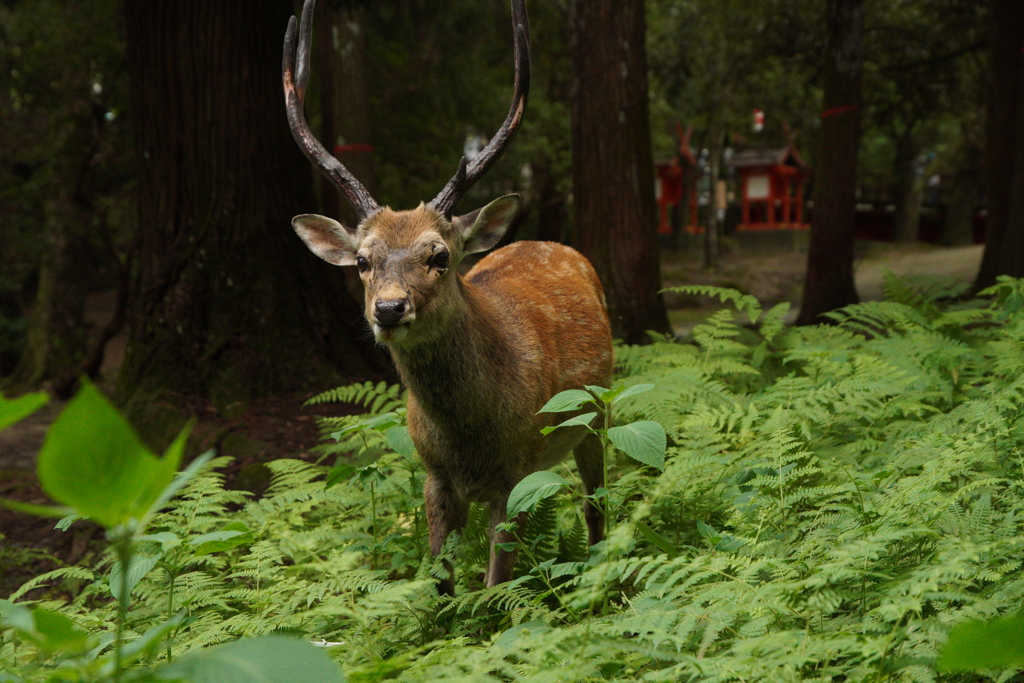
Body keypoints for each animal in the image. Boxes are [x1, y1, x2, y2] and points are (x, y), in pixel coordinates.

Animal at [284, 0, 610, 593]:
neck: (468, 441)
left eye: (439, 256)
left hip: (598, 411)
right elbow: (440, 583)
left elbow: (497, 586)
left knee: (596, 506)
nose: (389, 308)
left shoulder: (515, 471)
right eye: (362, 261)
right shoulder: (432, 475)